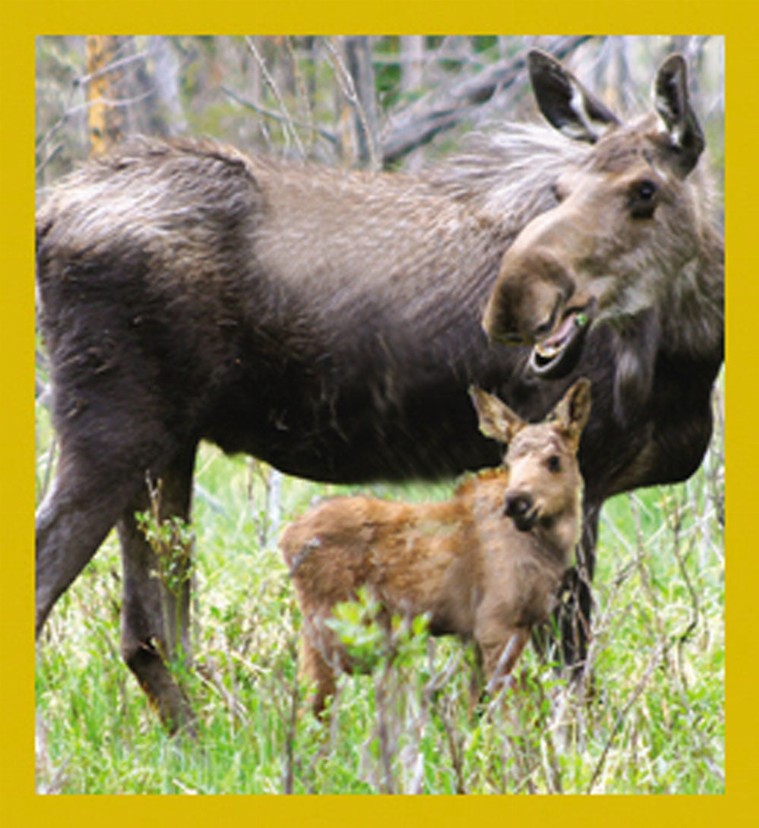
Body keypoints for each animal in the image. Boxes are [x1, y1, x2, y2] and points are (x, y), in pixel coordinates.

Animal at [280, 380, 592, 712]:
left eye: (554, 461)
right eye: (509, 461)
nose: (517, 502)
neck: (549, 548)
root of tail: (286, 540)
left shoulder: (484, 631)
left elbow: (476, 705)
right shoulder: (496, 621)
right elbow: (508, 706)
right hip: (337, 626)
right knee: (313, 700)